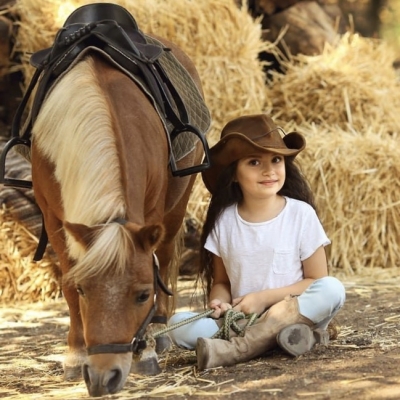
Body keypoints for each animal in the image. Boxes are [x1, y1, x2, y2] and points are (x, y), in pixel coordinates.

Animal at [1, 3, 211, 396]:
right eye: (86, 290)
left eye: (142, 294)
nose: (104, 376)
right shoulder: (54, 218)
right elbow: (67, 281)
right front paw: (74, 356)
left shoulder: (152, 213)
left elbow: (157, 261)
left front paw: (146, 351)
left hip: (178, 202)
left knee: (166, 254)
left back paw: (159, 331)